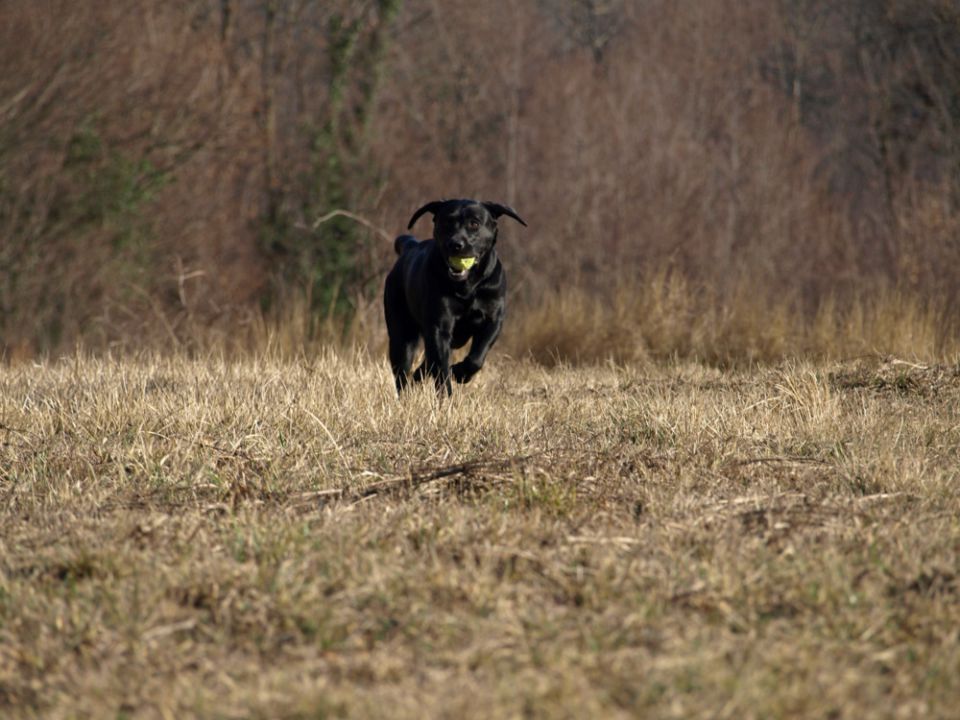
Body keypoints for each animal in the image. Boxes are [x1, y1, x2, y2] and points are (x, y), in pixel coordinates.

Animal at [384, 198, 524, 394]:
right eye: (447, 222)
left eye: (474, 223)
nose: (456, 244)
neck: (468, 286)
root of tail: (409, 247)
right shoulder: (439, 327)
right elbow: (441, 371)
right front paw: (446, 395)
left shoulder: (492, 321)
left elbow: (477, 358)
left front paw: (460, 373)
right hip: (402, 334)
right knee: (404, 372)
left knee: (425, 366)